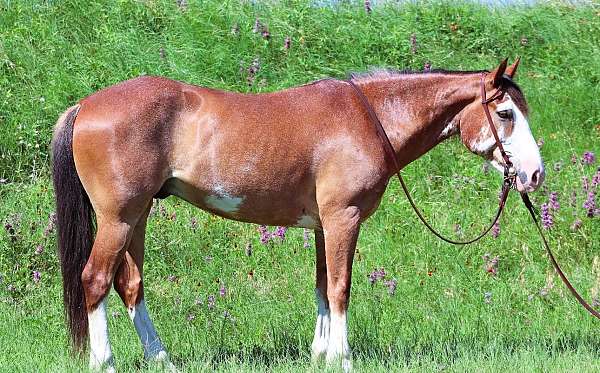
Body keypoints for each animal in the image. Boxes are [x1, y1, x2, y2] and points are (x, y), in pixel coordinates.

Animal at [51, 58, 544, 370]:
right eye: (505, 113)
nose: (534, 174)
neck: (370, 118)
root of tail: (87, 105)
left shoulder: (325, 226)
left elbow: (323, 288)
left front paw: (321, 355)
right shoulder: (344, 218)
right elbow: (341, 288)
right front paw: (343, 359)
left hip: (137, 217)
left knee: (130, 286)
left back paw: (162, 360)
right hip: (118, 218)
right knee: (95, 280)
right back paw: (105, 362)